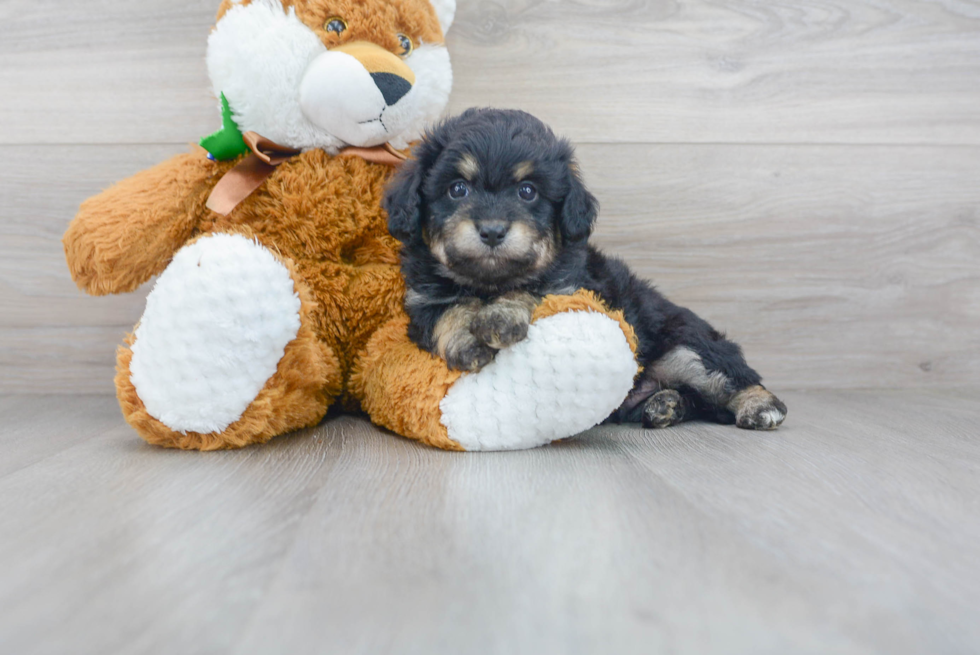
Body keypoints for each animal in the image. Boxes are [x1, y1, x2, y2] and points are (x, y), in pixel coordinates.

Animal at [382, 107, 788, 430]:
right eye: (457, 189)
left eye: (527, 191)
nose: (493, 230)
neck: (487, 284)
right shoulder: (422, 301)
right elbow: (447, 312)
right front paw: (468, 341)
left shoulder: (568, 286)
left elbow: (528, 289)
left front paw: (499, 317)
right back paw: (665, 405)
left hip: (686, 349)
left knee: (729, 377)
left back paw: (760, 406)